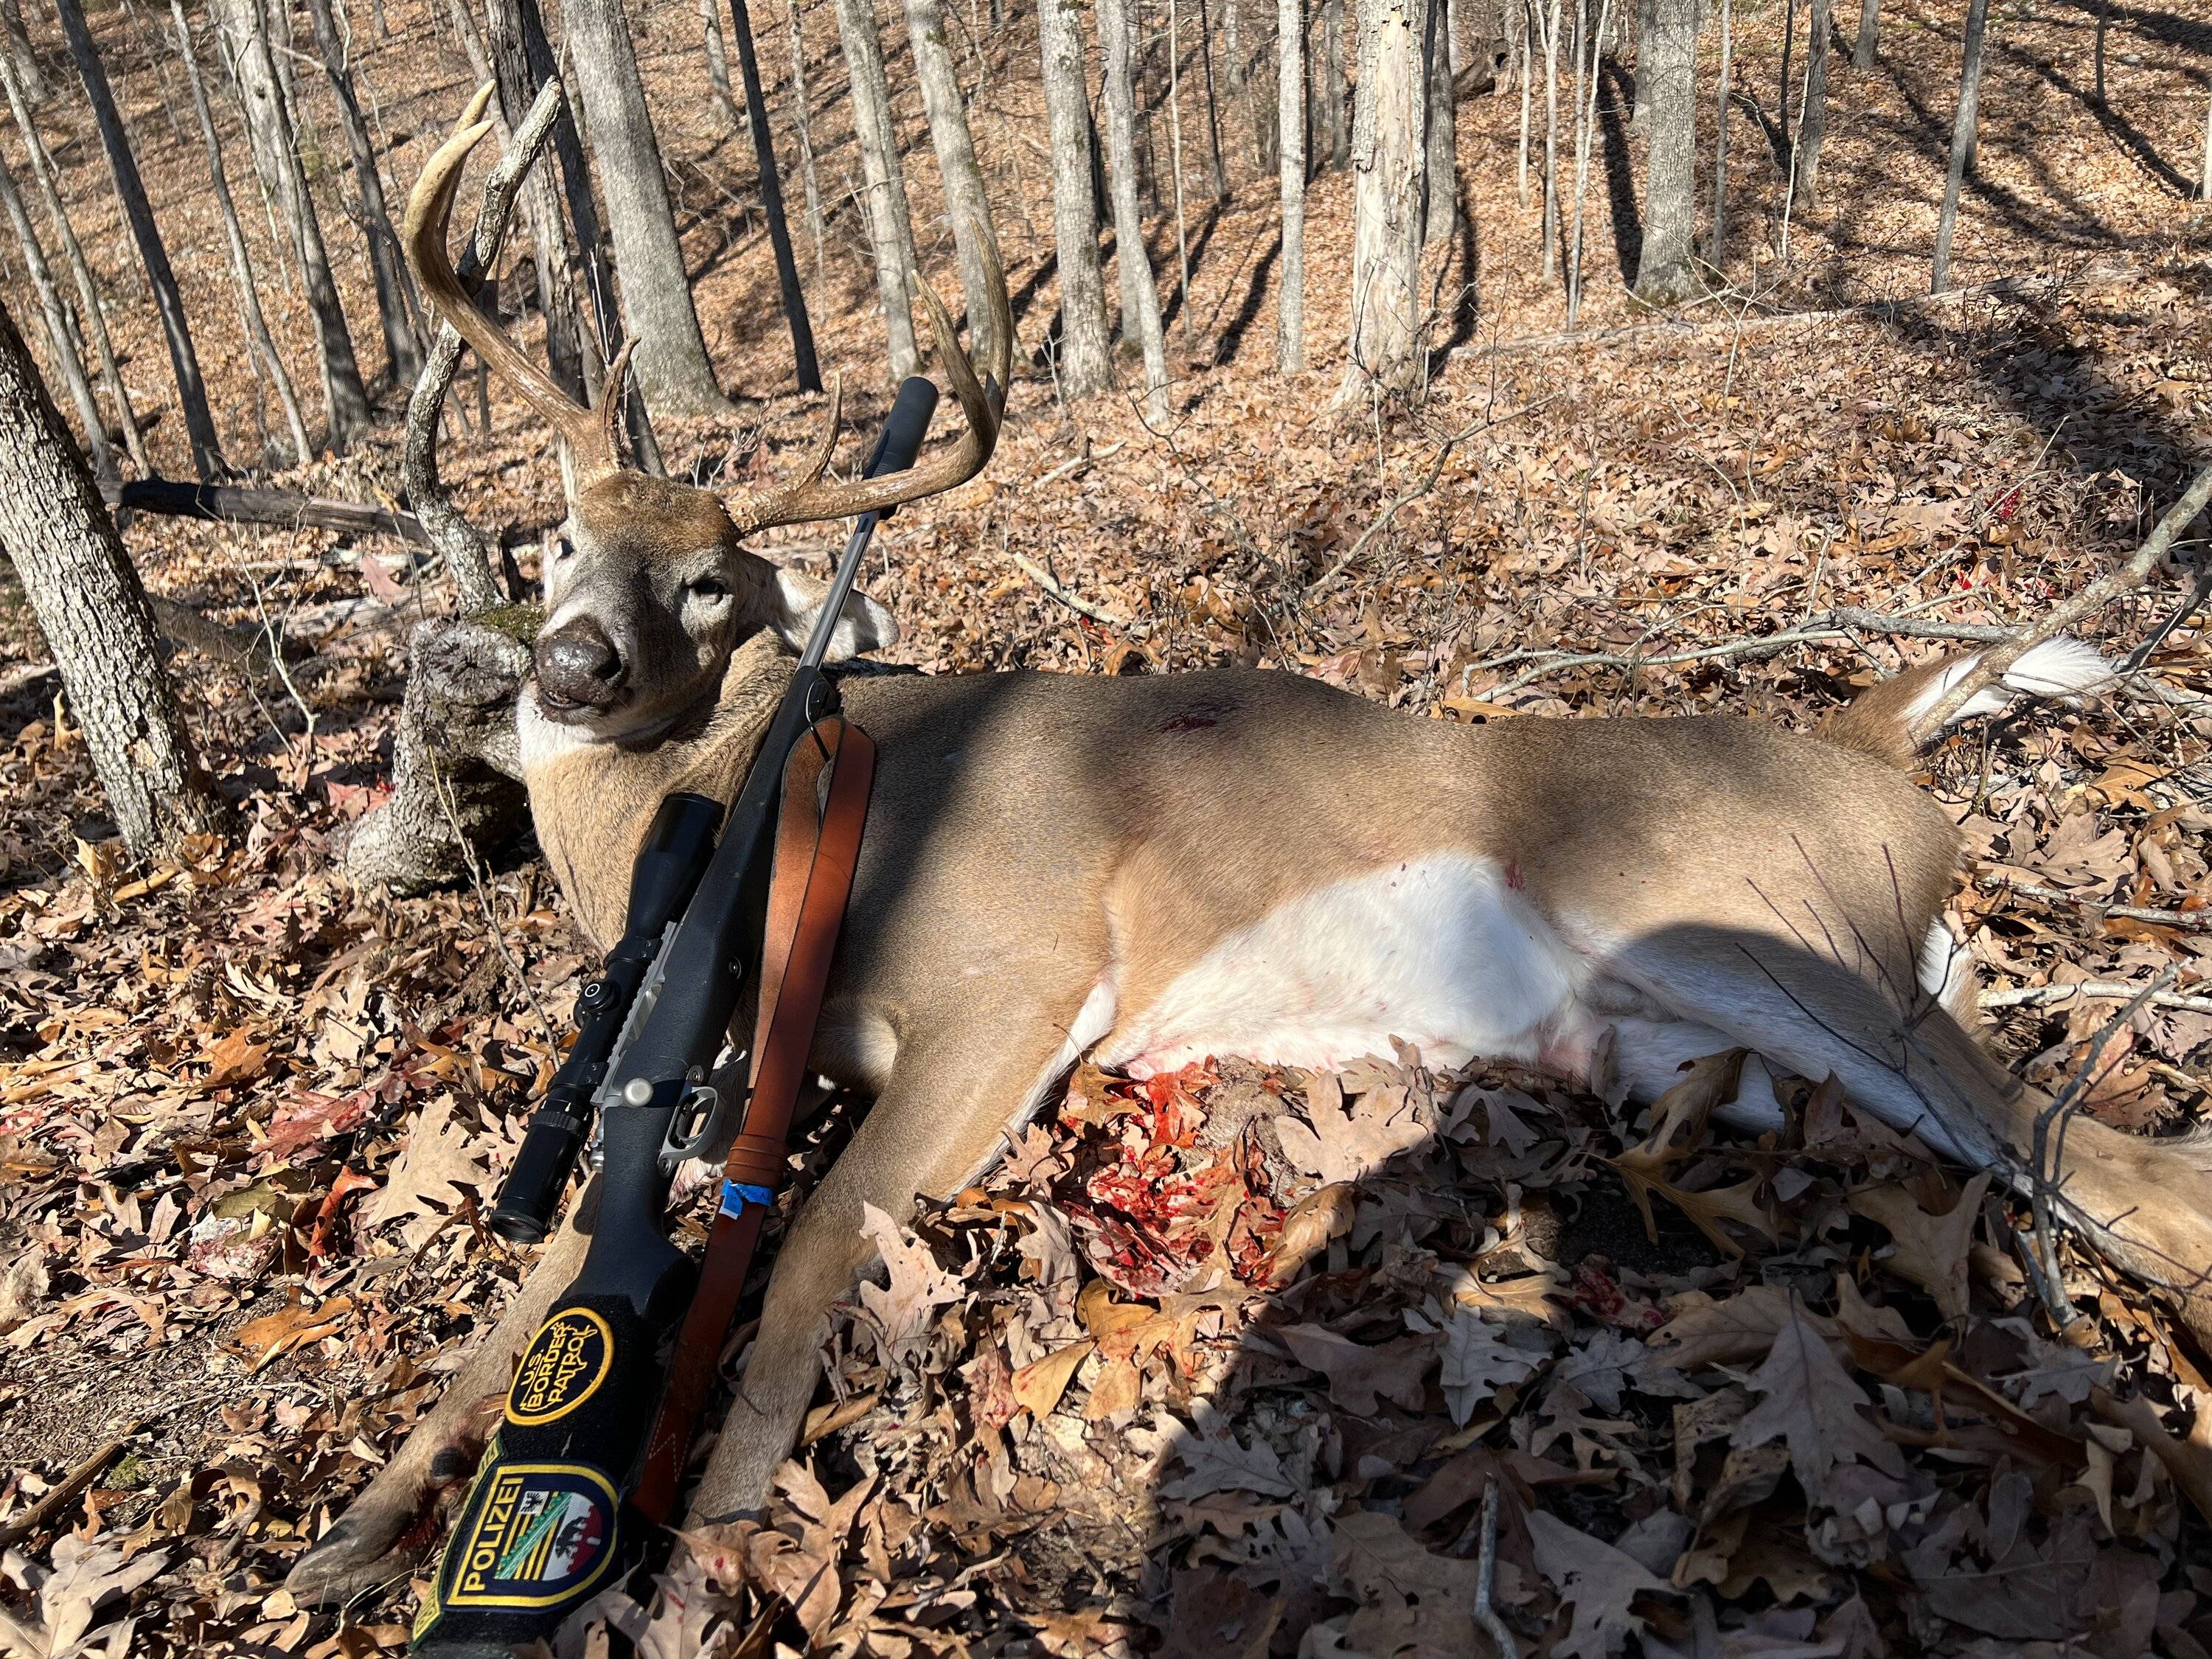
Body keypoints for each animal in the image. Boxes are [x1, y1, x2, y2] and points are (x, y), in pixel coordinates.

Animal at [290, 97, 2212, 1607]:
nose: (569, 665)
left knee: (2122, 1176)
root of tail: (1874, 744)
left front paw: (696, 1565)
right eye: (556, 540)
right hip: (1695, 1047)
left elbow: (808, 1248)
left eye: (708, 584)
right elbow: (542, 1282)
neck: (773, 801)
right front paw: (350, 1538)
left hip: (1755, 928)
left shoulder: (1017, 974)